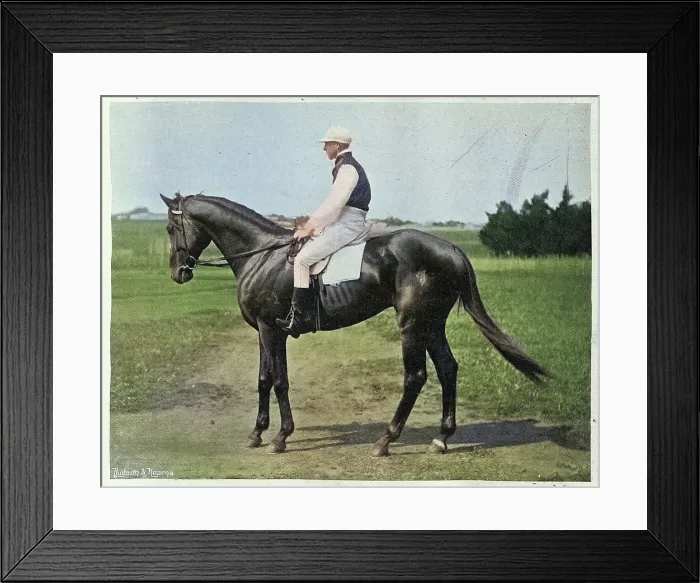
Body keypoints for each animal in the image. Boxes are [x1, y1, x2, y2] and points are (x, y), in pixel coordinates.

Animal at [159, 192, 549, 456]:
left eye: (170, 227)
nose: (179, 274)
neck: (263, 255)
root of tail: (451, 249)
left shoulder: (273, 331)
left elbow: (280, 382)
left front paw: (281, 437)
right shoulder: (263, 332)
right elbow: (263, 380)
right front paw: (257, 433)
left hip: (412, 325)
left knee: (416, 376)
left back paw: (386, 440)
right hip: (432, 325)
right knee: (448, 369)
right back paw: (440, 438)